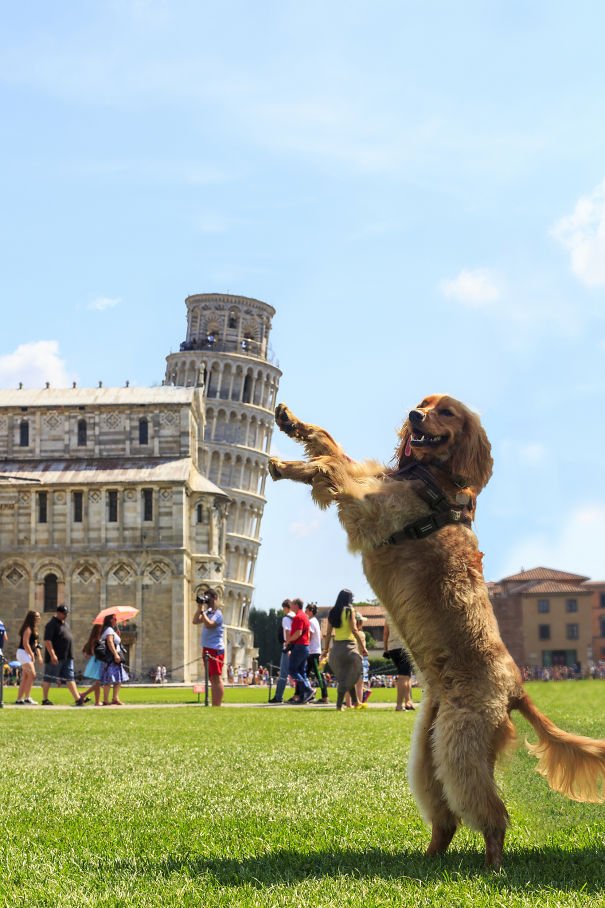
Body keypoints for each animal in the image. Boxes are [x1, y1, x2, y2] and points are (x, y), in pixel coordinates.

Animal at [268, 394, 604, 868]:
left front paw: (289, 464)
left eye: (446, 412)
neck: (432, 481)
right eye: (423, 403)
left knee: (493, 815)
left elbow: (332, 464)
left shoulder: (368, 507)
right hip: (428, 753)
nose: (414, 416)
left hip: (460, 747)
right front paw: (292, 427)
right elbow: (330, 445)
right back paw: (427, 859)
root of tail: (517, 688)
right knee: (446, 819)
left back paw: (492, 868)